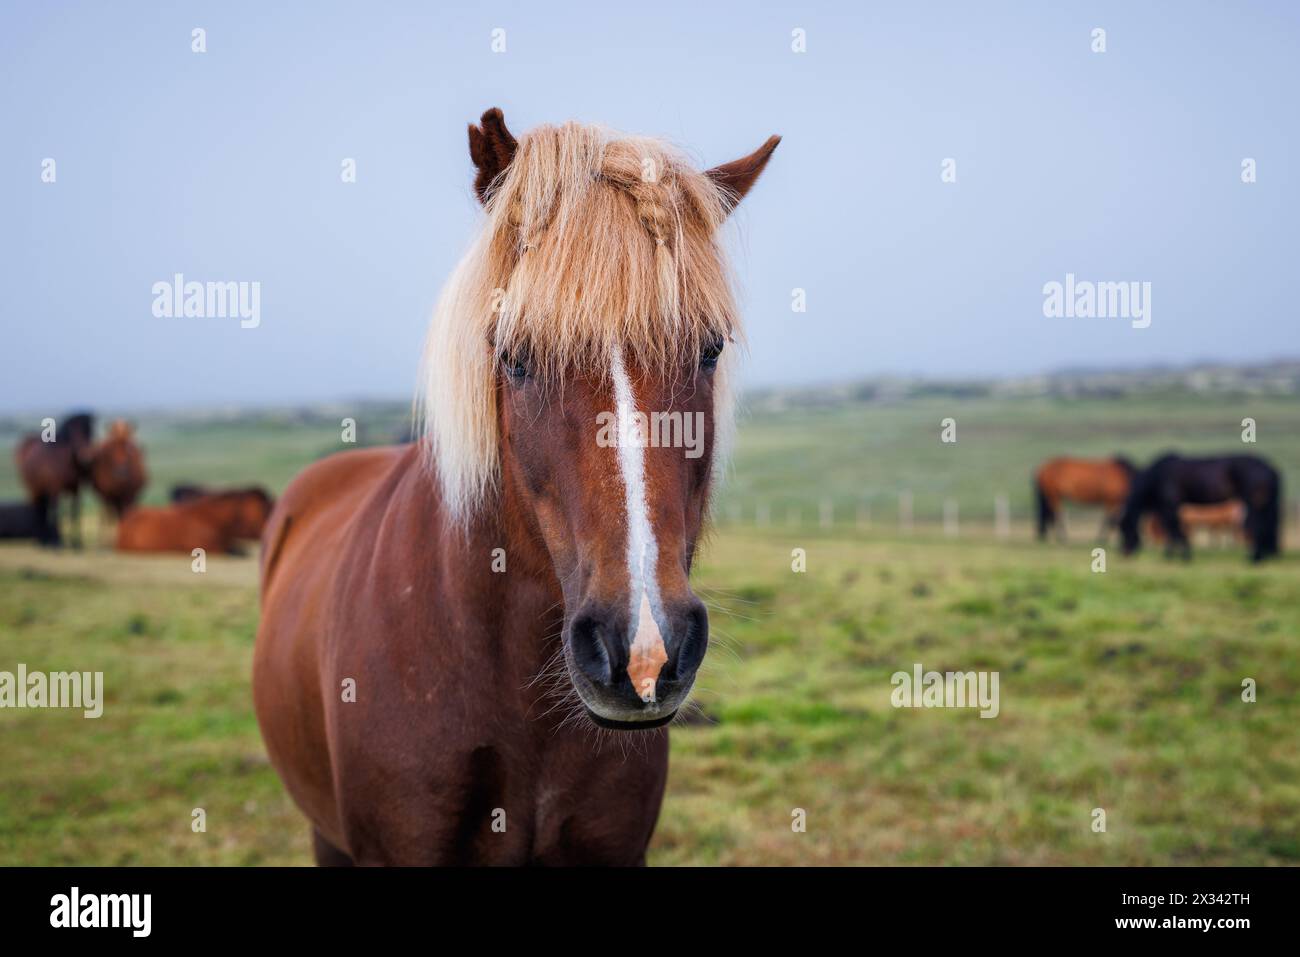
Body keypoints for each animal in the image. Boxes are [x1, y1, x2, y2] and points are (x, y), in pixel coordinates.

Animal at [14, 412, 96, 548]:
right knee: (38, 512)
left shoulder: (75, 490)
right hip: (34, 491)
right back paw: (42, 540)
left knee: (43, 510)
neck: (64, 461)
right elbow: (56, 513)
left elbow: (75, 513)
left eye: (90, 431)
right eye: (74, 433)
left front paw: (77, 544)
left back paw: (44, 540)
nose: (86, 457)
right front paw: (57, 542)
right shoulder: (55, 490)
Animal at [1120, 453, 1281, 562]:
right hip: (1265, 503)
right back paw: (1264, 555)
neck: (1156, 477)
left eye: (1124, 529)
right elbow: (1172, 529)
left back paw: (1254, 558)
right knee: (1268, 525)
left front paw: (1179, 556)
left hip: (1253, 502)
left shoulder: (1170, 505)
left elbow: (1173, 528)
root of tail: (1271, 468)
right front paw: (1175, 554)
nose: (1124, 554)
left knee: (1257, 525)